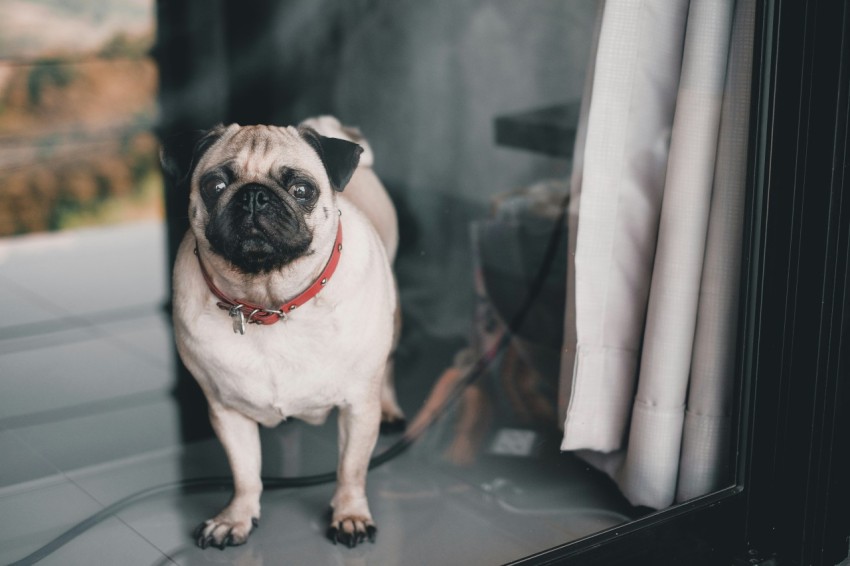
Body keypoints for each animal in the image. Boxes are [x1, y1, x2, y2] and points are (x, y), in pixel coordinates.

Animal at [163, 117, 408, 552]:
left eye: (301, 190)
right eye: (215, 186)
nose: (254, 197)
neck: (270, 306)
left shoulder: (358, 408)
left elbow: (351, 469)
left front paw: (350, 515)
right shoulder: (227, 410)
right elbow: (245, 473)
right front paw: (236, 518)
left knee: (390, 365)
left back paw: (392, 407)